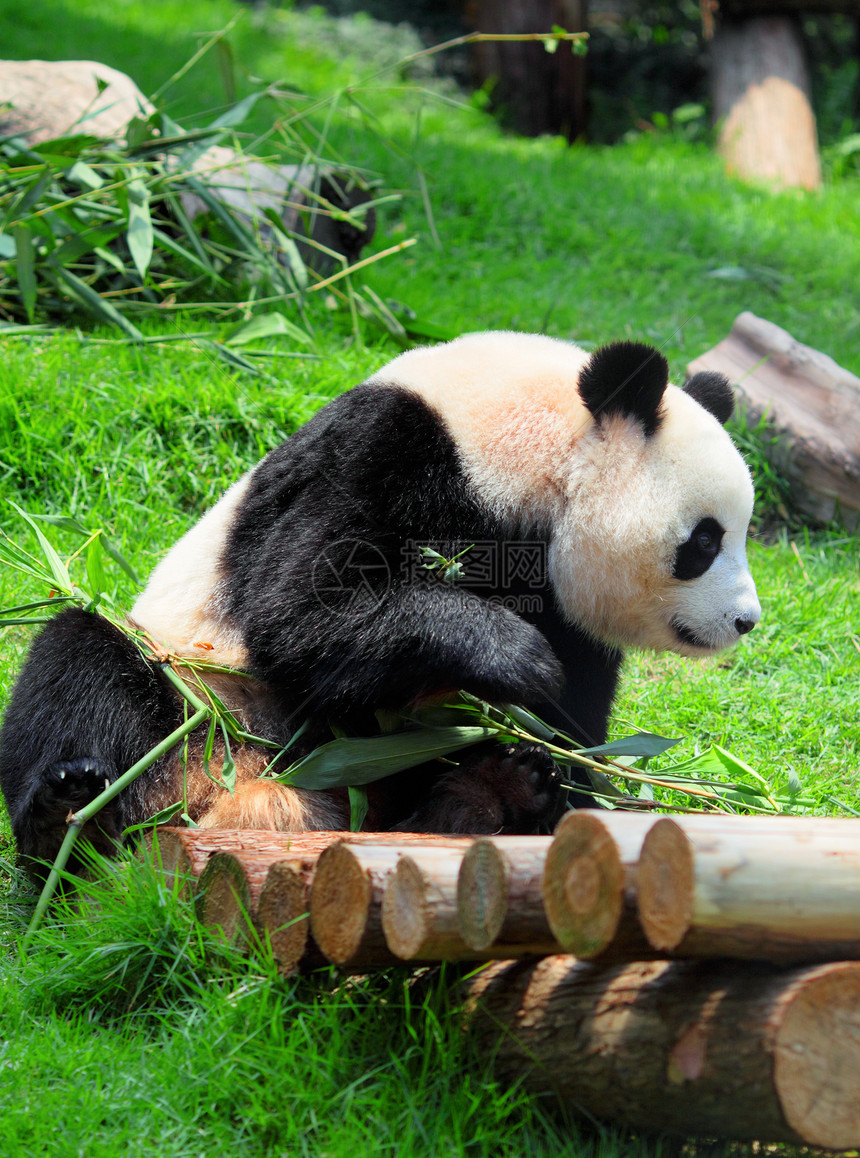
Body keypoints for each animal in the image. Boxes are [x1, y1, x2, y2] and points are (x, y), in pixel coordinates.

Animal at [0, 328, 759, 870]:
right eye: (705, 540)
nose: (745, 620)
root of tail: (252, 799)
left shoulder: (570, 611)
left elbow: (575, 729)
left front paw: (538, 747)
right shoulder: (389, 449)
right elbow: (305, 605)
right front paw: (517, 661)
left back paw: (487, 793)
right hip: (203, 694)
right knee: (82, 661)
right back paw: (66, 820)